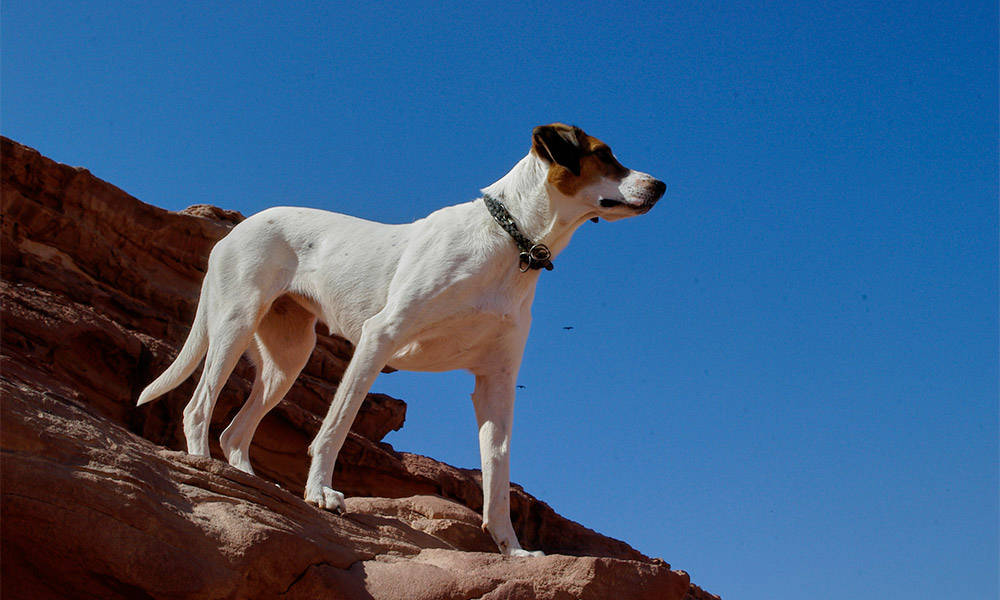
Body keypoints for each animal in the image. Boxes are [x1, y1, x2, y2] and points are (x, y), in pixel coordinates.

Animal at [133, 123, 664, 556]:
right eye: (604, 154)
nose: (661, 184)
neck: (510, 241)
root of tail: (234, 230)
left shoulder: (496, 382)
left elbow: (497, 475)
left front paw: (513, 551)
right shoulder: (378, 339)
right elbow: (335, 428)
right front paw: (321, 494)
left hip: (289, 356)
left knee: (235, 431)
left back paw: (248, 481)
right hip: (235, 324)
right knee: (198, 406)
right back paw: (205, 467)